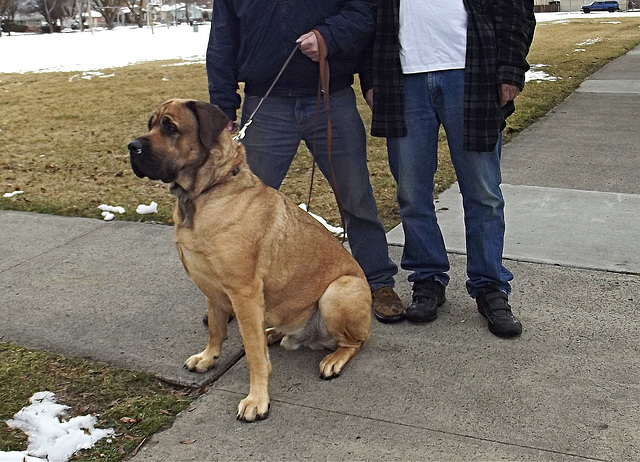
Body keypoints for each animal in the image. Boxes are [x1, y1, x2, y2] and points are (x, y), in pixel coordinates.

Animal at [127, 98, 372, 422]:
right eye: (150, 124)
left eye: (170, 128)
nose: (131, 147)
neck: (204, 194)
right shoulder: (212, 287)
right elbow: (217, 328)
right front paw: (208, 358)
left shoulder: (243, 291)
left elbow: (254, 356)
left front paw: (257, 400)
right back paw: (273, 333)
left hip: (339, 291)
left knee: (356, 341)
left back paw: (334, 359)